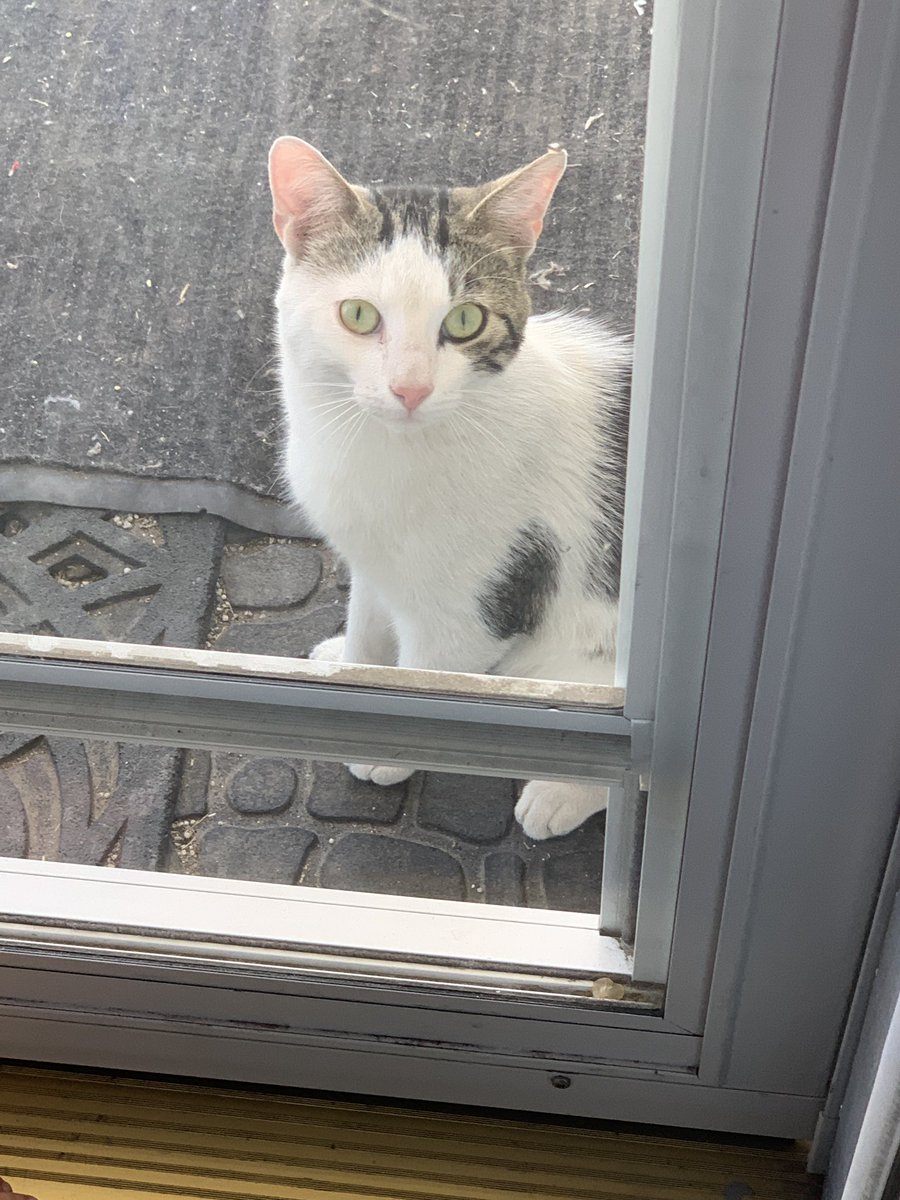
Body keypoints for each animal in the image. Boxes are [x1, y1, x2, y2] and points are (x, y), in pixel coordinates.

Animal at [271, 136, 628, 840]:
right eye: (359, 314)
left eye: (465, 320)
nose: (410, 388)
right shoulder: (373, 560)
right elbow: (369, 625)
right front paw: (349, 661)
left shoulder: (474, 607)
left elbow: (428, 679)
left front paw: (383, 754)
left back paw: (559, 795)